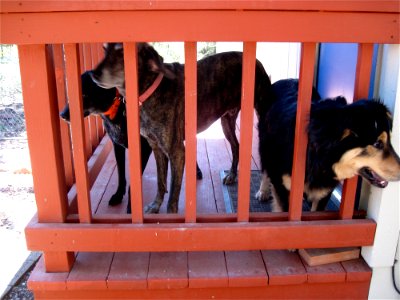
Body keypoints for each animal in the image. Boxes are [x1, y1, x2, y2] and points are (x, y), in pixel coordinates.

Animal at [58, 71, 203, 211]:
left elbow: (133, 185)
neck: (117, 110)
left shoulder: (143, 149)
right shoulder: (117, 146)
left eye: (83, 95)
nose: (62, 115)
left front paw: (130, 207)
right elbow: (121, 174)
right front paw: (118, 195)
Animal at [91, 42, 272, 213]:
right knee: (236, 146)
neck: (151, 90)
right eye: (105, 49)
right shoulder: (156, 148)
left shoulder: (176, 152)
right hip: (226, 122)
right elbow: (161, 182)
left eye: (122, 52)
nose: (93, 73)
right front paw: (155, 205)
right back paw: (232, 175)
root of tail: (258, 62)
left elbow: (172, 196)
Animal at [256, 78, 400, 212]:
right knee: (265, 170)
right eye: (377, 144)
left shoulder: (324, 192)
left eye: (389, 141)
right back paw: (263, 191)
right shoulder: (283, 188)